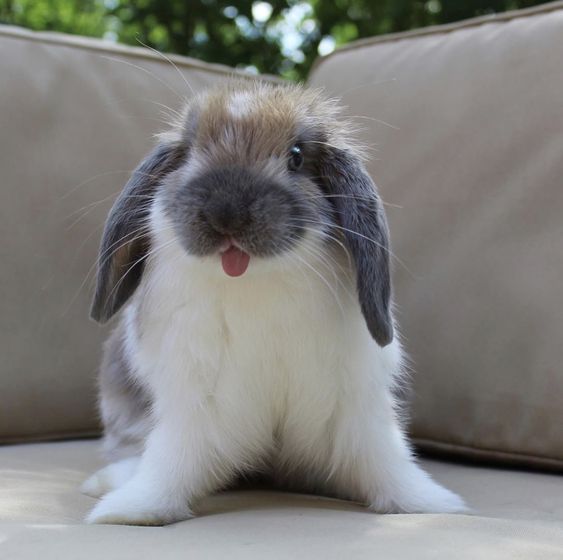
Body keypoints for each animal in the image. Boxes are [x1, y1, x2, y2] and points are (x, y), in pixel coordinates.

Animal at [80, 80, 468, 524]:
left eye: (296, 156)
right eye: (190, 150)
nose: (226, 213)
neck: (256, 282)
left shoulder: (354, 406)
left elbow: (382, 459)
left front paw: (427, 503)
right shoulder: (196, 405)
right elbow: (173, 460)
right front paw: (134, 509)